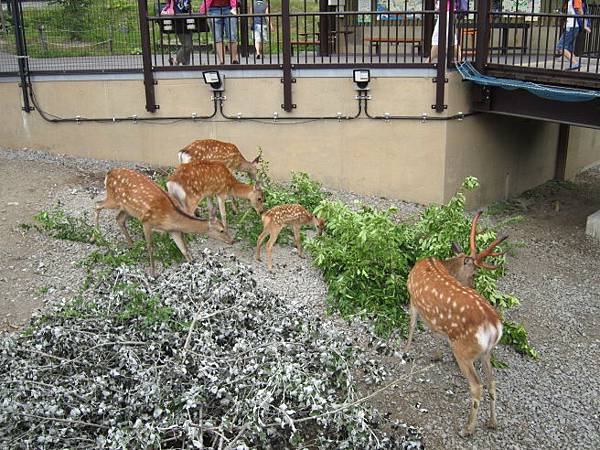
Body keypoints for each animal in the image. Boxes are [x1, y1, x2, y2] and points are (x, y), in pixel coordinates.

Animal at [95, 168, 233, 276]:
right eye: (222, 230)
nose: (232, 241)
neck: (169, 217)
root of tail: (109, 173)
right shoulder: (146, 221)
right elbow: (151, 247)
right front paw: (153, 273)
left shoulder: (173, 230)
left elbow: (183, 249)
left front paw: (192, 263)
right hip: (113, 198)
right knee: (97, 205)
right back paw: (96, 235)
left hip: (128, 209)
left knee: (119, 218)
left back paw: (132, 245)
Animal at [406, 213, 508, 438]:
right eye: (474, 274)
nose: (473, 285)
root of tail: (494, 326)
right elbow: (436, 333)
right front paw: (435, 355)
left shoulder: (412, 298)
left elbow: (412, 326)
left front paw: (405, 351)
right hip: (487, 352)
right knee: (492, 382)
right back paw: (492, 422)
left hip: (464, 350)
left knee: (477, 386)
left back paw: (467, 428)